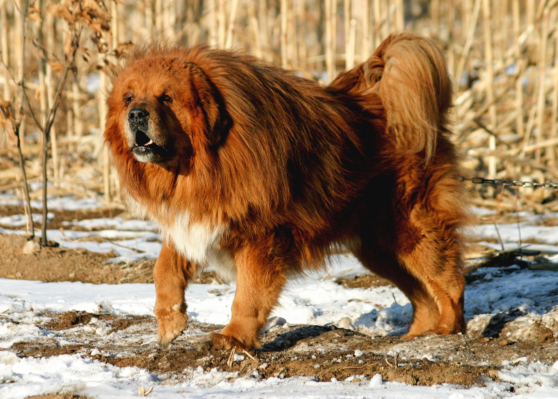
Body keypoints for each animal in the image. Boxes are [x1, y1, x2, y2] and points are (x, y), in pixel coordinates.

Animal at [104, 32, 468, 350]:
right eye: (129, 98)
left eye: (166, 97)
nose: (136, 114)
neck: (204, 166)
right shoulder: (195, 220)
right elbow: (163, 268)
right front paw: (170, 321)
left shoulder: (261, 237)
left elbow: (247, 297)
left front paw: (233, 339)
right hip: (379, 247)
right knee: (423, 295)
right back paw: (417, 336)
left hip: (410, 230)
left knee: (449, 282)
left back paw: (448, 331)